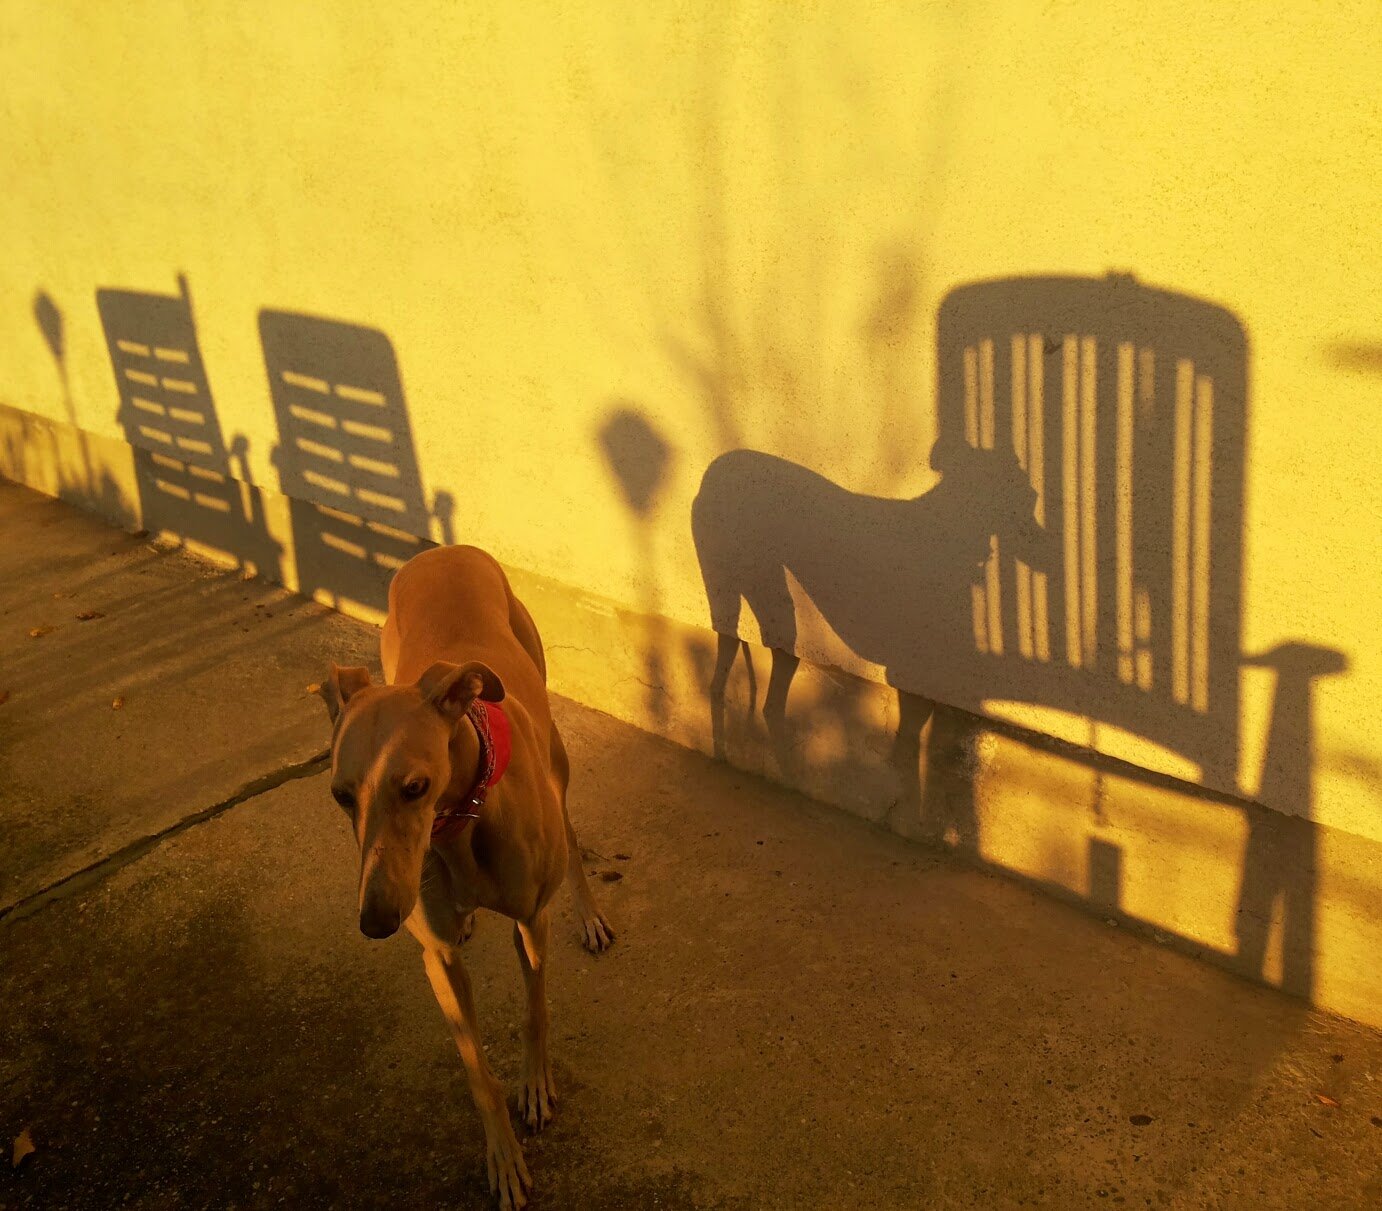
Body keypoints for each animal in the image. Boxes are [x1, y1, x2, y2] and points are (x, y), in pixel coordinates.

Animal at [317, 544, 613, 1210]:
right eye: (341, 795)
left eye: (415, 786)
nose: (376, 921)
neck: (461, 820)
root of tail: (443, 550)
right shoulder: (438, 958)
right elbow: (477, 1069)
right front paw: (503, 1157)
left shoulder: (532, 921)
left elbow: (535, 1011)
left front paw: (536, 1088)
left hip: (557, 760)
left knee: (572, 834)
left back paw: (590, 914)